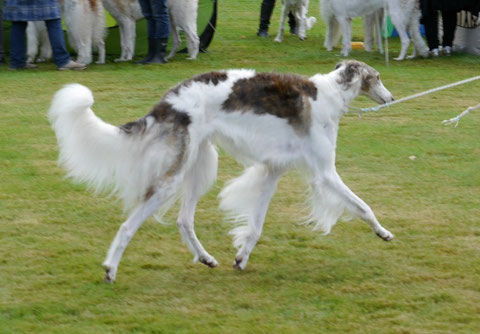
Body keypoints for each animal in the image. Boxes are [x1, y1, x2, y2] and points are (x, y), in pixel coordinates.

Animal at [48, 59, 394, 282]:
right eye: (377, 77)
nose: (390, 98)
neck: (330, 94)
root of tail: (167, 102)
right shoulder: (325, 172)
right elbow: (363, 207)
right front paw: (383, 232)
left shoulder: (272, 172)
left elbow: (254, 228)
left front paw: (241, 258)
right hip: (173, 178)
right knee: (127, 225)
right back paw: (110, 268)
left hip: (200, 167)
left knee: (183, 220)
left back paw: (205, 257)